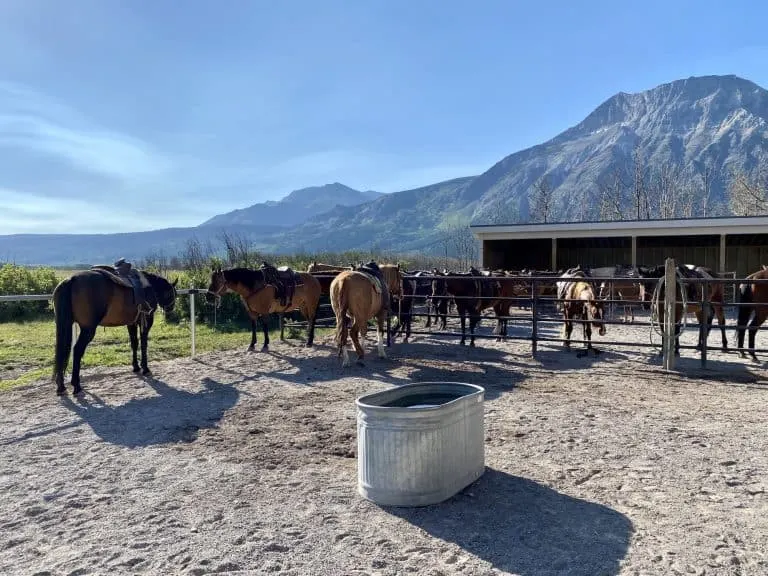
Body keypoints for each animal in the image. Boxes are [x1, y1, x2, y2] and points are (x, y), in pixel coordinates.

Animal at [51, 266, 178, 396]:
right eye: (173, 294)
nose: (170, 309)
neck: (150, 286)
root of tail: (71, 279)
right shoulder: (146, 321)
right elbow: (143, 344)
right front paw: (145, 368)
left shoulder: (131, 323)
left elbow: (134, 344)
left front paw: (136, 367)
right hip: (88, 329)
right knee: (77, 350)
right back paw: (76, 384)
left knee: (62, 352)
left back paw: (61, 386)